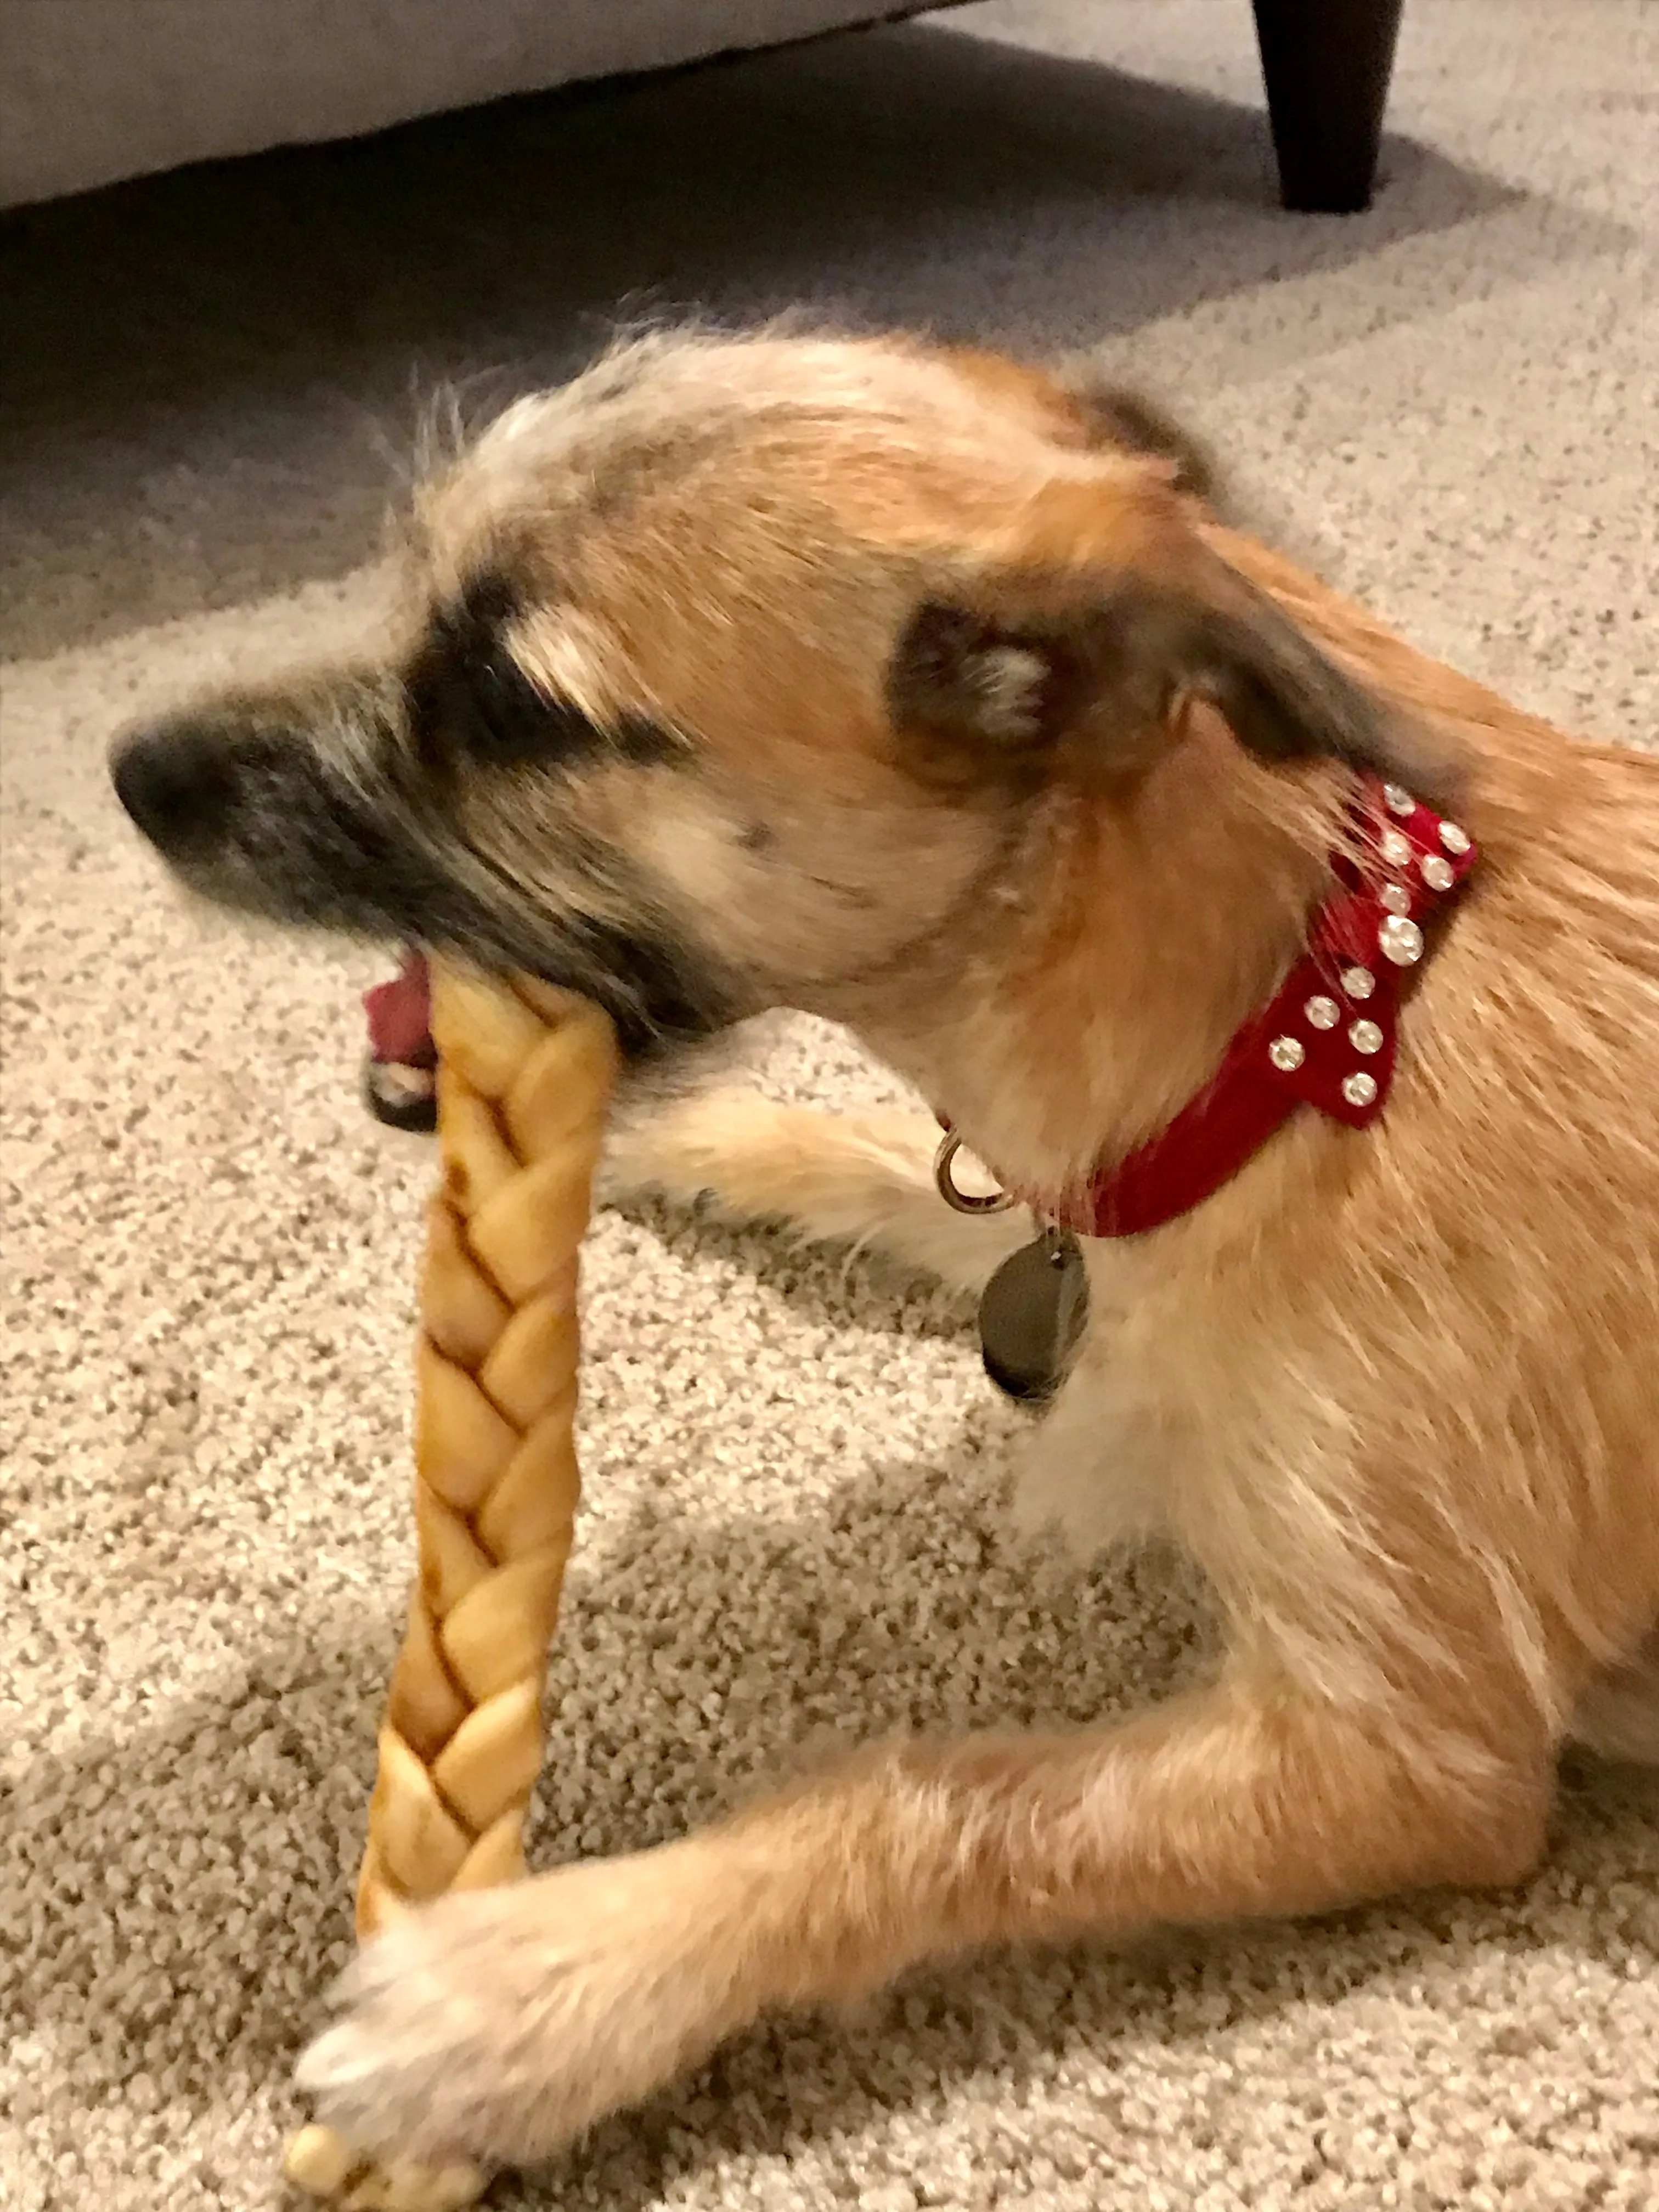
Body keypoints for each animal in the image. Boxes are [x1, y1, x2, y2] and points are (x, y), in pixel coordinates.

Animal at [110, 331, 1654, 2176]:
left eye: (518, 711)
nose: (132, 771)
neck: (1300, 1018)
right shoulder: (1063, 1204)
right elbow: (904, 1172)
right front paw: (709, 1143)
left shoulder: (1410, 1752)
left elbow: (932, 1799)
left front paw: (534, 1992)